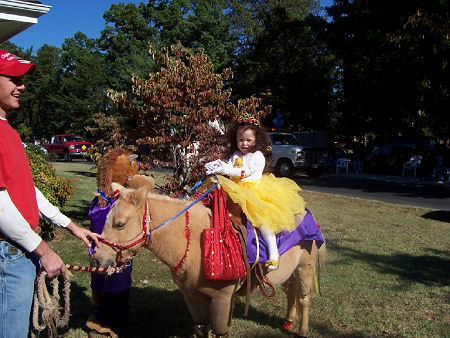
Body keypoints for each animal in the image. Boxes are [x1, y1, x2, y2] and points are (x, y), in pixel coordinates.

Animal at [90, 185, 324, 338]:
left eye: (120, 224)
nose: (98, 259)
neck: (195, 242)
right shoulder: (192, 297)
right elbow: (201, 329)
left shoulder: (222, 299)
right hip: (292, 272)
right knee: (291, 292)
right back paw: (289, 322)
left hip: (305, 268)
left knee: (304, 298)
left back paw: (302, 330)